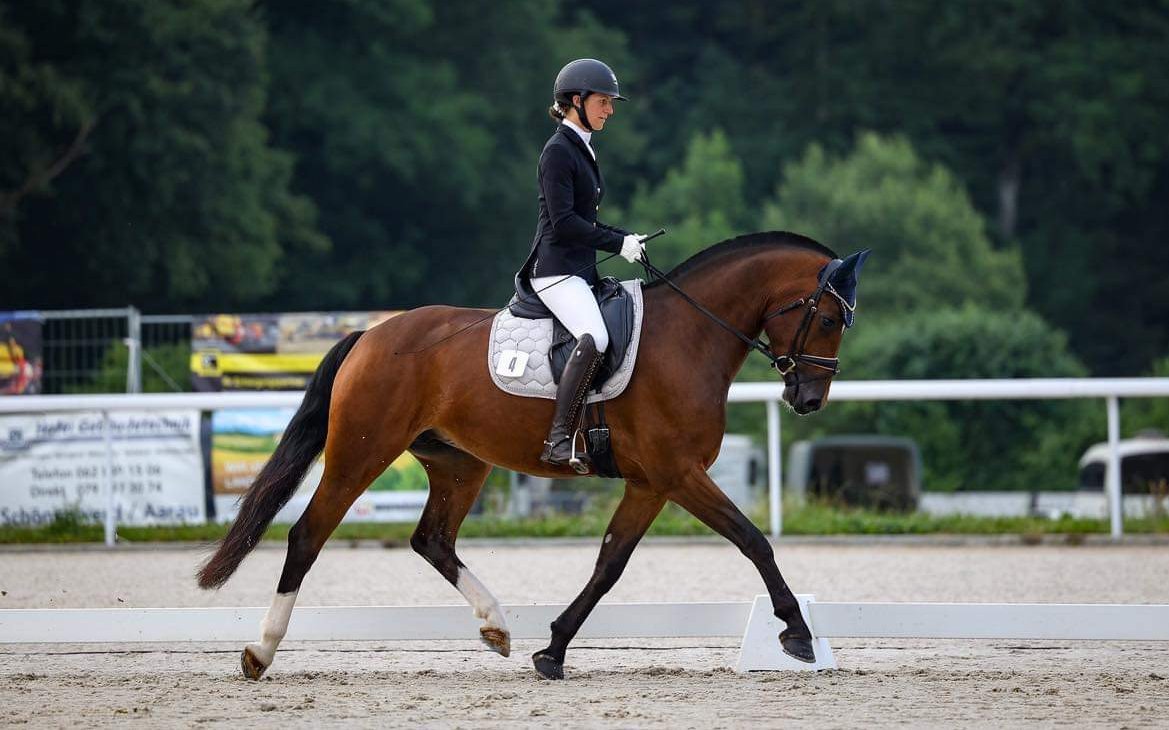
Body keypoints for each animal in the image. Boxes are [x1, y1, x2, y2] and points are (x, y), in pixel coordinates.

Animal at [196, 230, 869, 683]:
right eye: (828, 319)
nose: (808, 399)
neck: (690, 336)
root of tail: (370, 335)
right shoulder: (679, 474)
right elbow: (753, 539)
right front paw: (797, 633)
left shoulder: (651, 483)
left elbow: (609, 565)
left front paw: (553, 650)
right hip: (362, 452)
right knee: (308, 534)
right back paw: (260, 652)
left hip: (459, 463)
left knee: (431, 539)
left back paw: (496, 625)